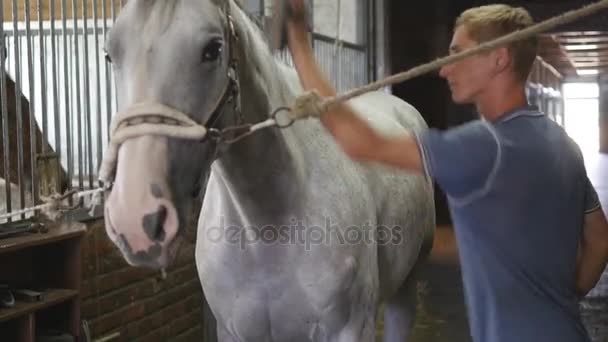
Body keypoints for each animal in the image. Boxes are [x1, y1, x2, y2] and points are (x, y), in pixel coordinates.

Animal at [102, 1, 434, 340]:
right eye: (110, 54)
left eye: (213, 49)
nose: (135, 220)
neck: (267, 231)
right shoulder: (232, 330)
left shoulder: (351, 329)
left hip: (406, 288)